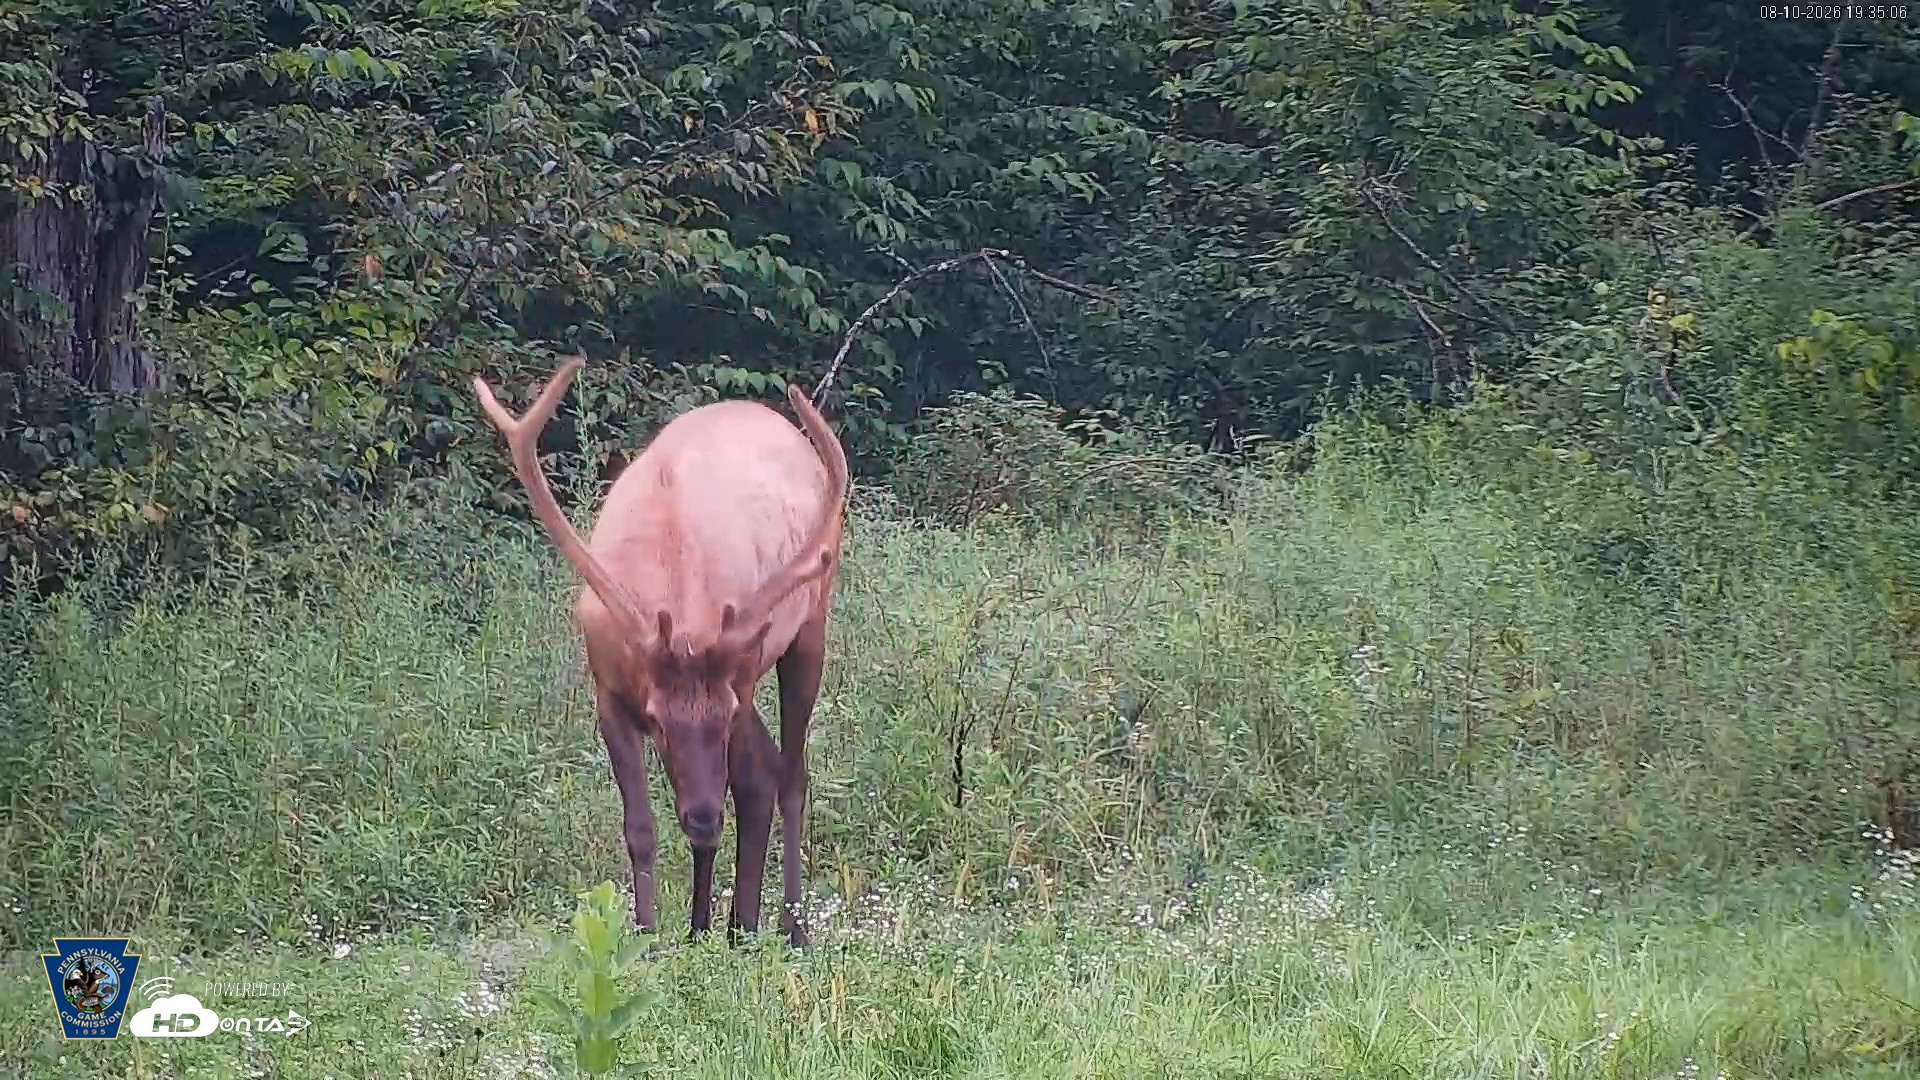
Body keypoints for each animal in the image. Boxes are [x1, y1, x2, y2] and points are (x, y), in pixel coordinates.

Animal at [473, 356, 848, 947]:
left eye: (723, 717)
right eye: (657, 721)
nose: (702, 817)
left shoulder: (738, 679)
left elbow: (742, 788)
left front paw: (708, 926)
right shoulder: (608, 693)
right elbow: (640, 827)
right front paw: (654, 933)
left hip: (810, 624)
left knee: (787, 775)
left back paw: (787, 925)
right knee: (765, 771)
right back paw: (731, 922)